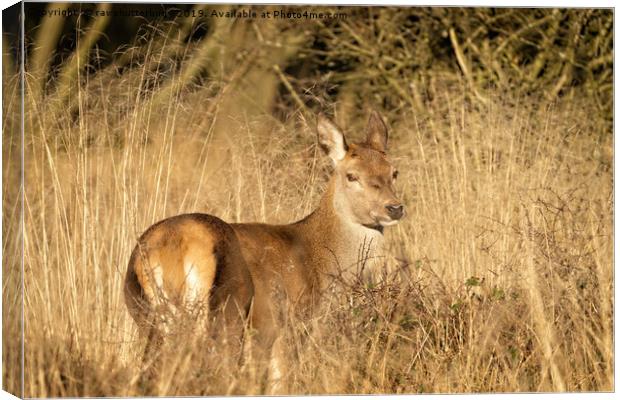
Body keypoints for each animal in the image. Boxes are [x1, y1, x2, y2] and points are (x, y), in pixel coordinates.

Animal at [124, 111, 406, 392]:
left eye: (393, 172)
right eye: (351, 176)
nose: (394, 207)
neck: (319, 262)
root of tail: (171, 247)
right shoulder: (283, 324)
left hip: (146, 316)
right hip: (229, 311)